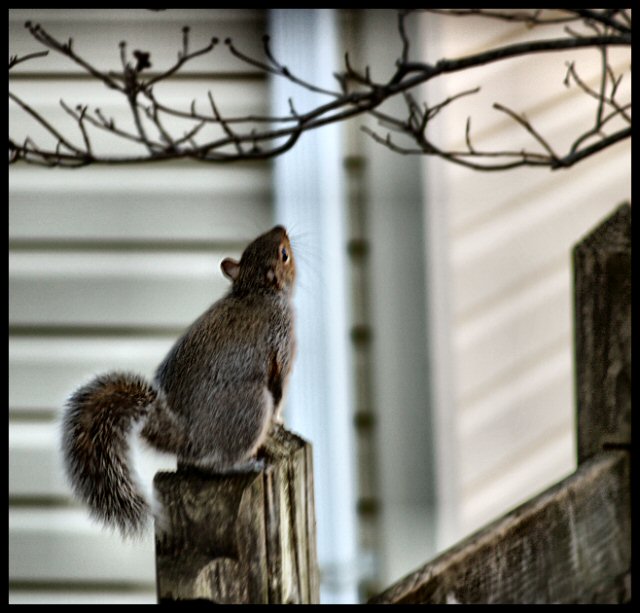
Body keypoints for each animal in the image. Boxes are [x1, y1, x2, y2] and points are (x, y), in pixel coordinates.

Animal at [62, 225, 298, 536]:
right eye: (284, 254)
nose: (281, 229)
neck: (257, 290)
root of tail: (189, 439)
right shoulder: (281, 344)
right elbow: (280, 391)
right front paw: (279, 422)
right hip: (251, 406)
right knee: (218, 464)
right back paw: (247, 464)